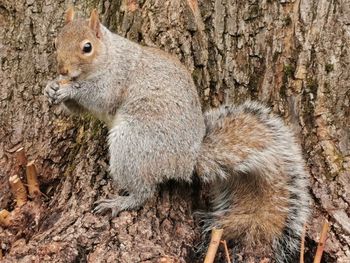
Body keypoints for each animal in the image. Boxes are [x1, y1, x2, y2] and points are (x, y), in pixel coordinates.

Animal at [43, 7, 308, 262]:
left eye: (87, 47)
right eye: (56, 42)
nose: (62, 69)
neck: (109, 56)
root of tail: (187, 160)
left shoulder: (116, 80)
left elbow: (99, 97)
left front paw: (69, 89)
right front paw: (51, 87)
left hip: (133, 143)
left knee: (144, 191)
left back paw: (121, 202)